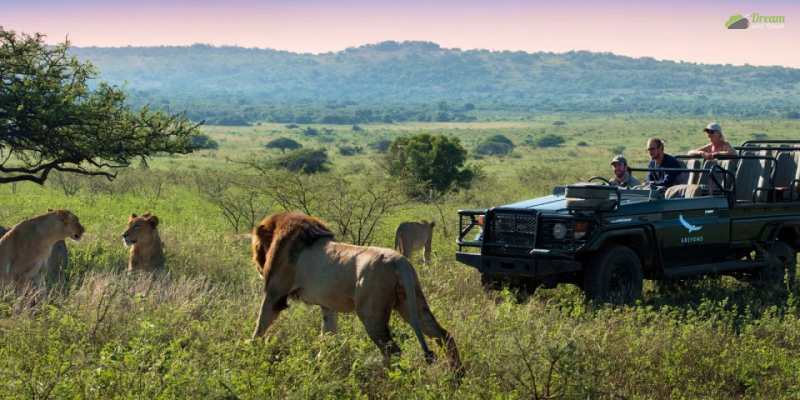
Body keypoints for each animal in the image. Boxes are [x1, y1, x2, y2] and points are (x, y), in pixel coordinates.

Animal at [253, 212, 460, 372]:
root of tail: (400, 262)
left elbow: (259, 326)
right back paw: (456, 377)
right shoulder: (327, 306)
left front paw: (250, 353)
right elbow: (327, 335)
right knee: (444, 336)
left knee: (394, 352)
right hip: (413, 304)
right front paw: (322, 363)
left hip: (372, 315)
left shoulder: (274, 295)